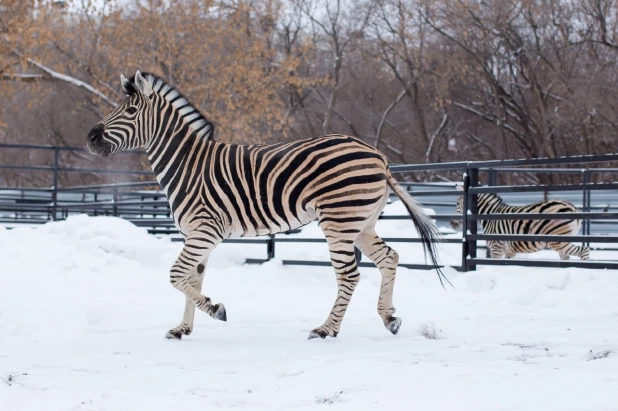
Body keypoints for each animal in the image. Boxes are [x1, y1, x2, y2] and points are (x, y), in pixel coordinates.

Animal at [85, 71, 442, 342]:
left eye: (131, 111)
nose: (90, 138)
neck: (187, 164)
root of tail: (378, 156)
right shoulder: (196, 235)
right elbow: (192, 279)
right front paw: (183, 328)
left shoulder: (205, 231)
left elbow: (176, 276)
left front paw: (216, 309)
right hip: (361, 223)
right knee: (389, 258)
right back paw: (389, 318)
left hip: (339, 222)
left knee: (349, 275)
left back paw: (326, 329)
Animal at [450, 193, 588, 260]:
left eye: (457, 203)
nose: (452, 223)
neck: (489, 215)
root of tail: (573, 207)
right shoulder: (510, 251)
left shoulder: (496, 247)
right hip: (564, 240)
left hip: (558, 240)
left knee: (584, 251)